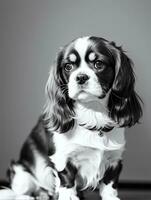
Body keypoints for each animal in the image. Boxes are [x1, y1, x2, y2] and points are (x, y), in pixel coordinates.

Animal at [0, 36, 142, 200]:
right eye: (68, 66)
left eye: (98, 64)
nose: (80, 77)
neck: (92, 113)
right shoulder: (62, 156)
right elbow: (66, 178)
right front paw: (68, 196)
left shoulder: (114, 158)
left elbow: (109, 184)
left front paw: (111, 197)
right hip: (22, 176)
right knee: (20, 193)